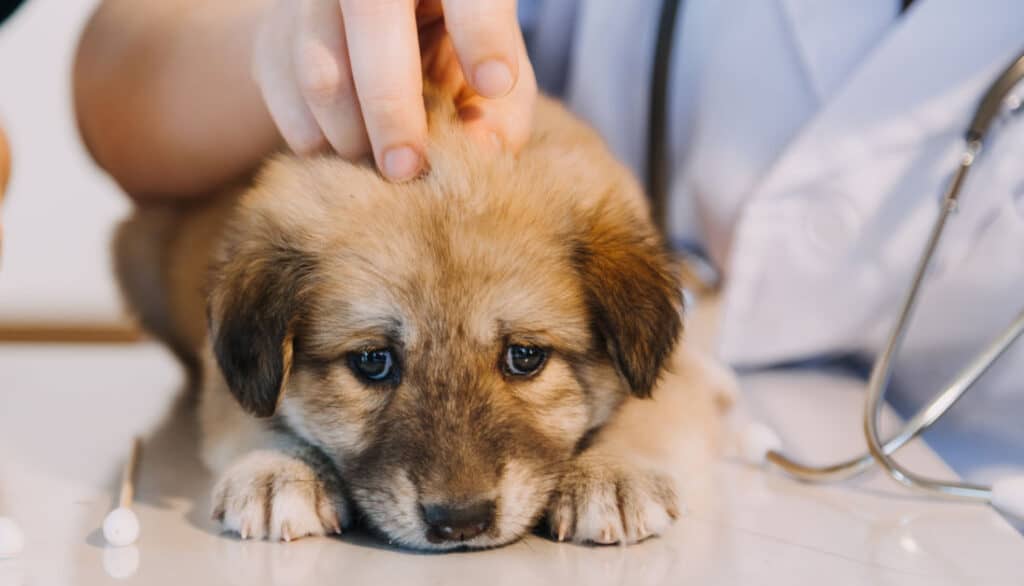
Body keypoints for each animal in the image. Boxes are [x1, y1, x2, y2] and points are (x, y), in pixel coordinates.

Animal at [114, 91, 737, 549]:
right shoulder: (227, 376)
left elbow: (649, 411)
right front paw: (278, 469)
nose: (459, 522)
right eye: (372, 361)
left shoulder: (666, 368)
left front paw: (611, 472)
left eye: (525, 356)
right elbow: (252, 416)